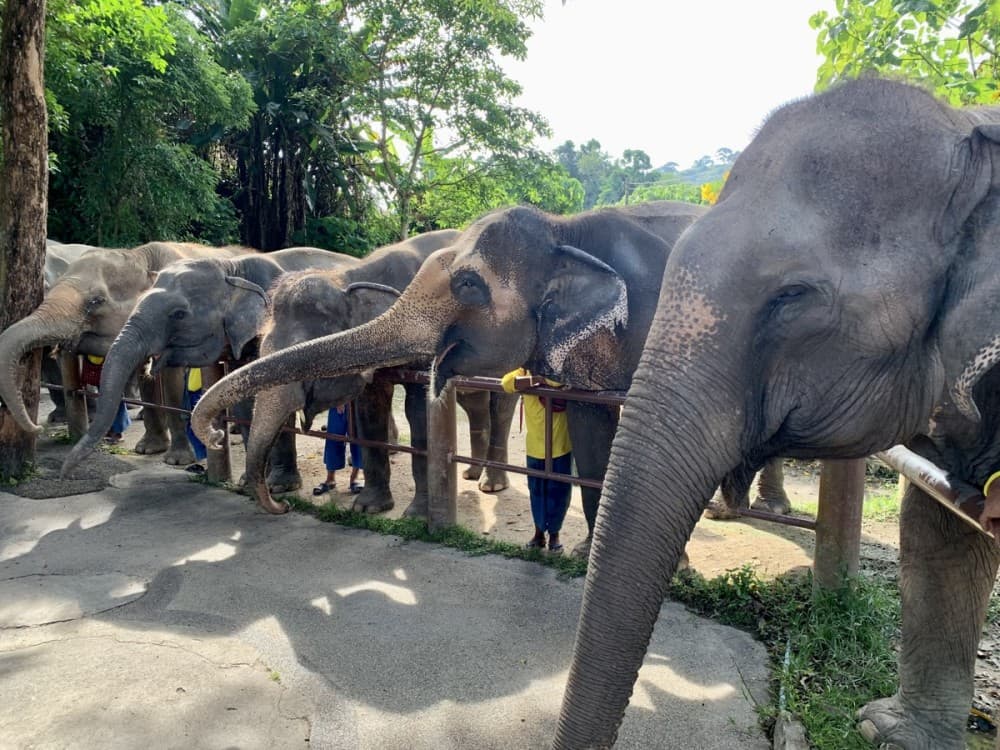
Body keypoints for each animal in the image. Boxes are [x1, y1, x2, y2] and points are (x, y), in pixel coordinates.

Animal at [0, 241, 257, 465]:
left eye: (97, 301)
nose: (38, 428)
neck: (139, 256)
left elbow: (171, 381)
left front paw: (177, 460)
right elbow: (146, 379)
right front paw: (148, 449)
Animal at [59, 246, 359, 479]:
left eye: (179, 314)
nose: (65, 474)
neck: (231, 269)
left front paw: (277, 486)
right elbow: (244, 402)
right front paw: (247, 479)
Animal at [236, 228, 521, 516]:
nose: (283, 505)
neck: (352, 276)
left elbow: (419, 410)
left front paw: (416, 515)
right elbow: (370, 409)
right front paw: (368, 507)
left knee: (500, 407)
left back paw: (491, 484)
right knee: (474, 402)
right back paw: (472, 474)